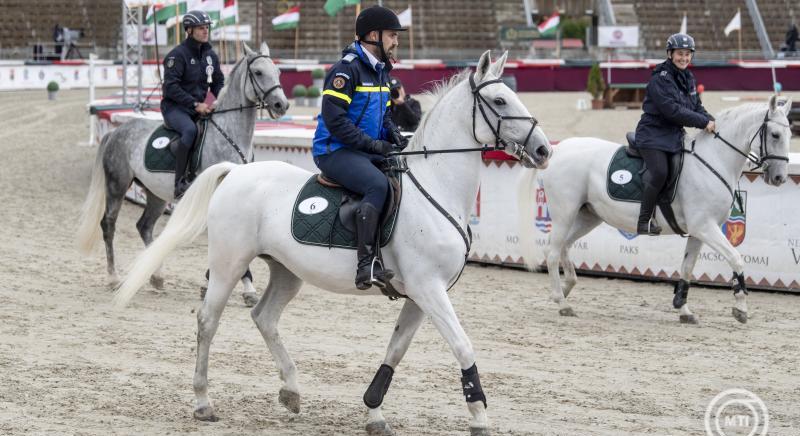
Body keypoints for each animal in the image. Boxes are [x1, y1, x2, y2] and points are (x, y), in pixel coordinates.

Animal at [112, 52, 552, 436]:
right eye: (499, 100)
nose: (543, 149)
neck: (435, 185)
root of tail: (236, 172)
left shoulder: (420, 295)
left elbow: (395, 351)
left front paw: (374, 412)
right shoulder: (429, 289)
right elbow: (463, 346)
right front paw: (479, 416)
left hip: (286, 271)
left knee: (264, 317)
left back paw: (291, 391)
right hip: (228, 264)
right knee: (208, 320)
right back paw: (204, 402)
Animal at [520, 97, 792, 326]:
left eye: (790, 134)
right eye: (775, 134)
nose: (779, 178)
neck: (713, 162)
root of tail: (559, 149)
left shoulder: (698, 232)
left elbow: (687, 268)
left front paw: (683, 309)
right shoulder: (705, 227)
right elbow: (736, 258)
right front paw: (741, 308)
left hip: (588, 216)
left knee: (564, 246)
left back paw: (566, 288)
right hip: (565, 213)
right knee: (552, 252)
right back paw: (561, 301)